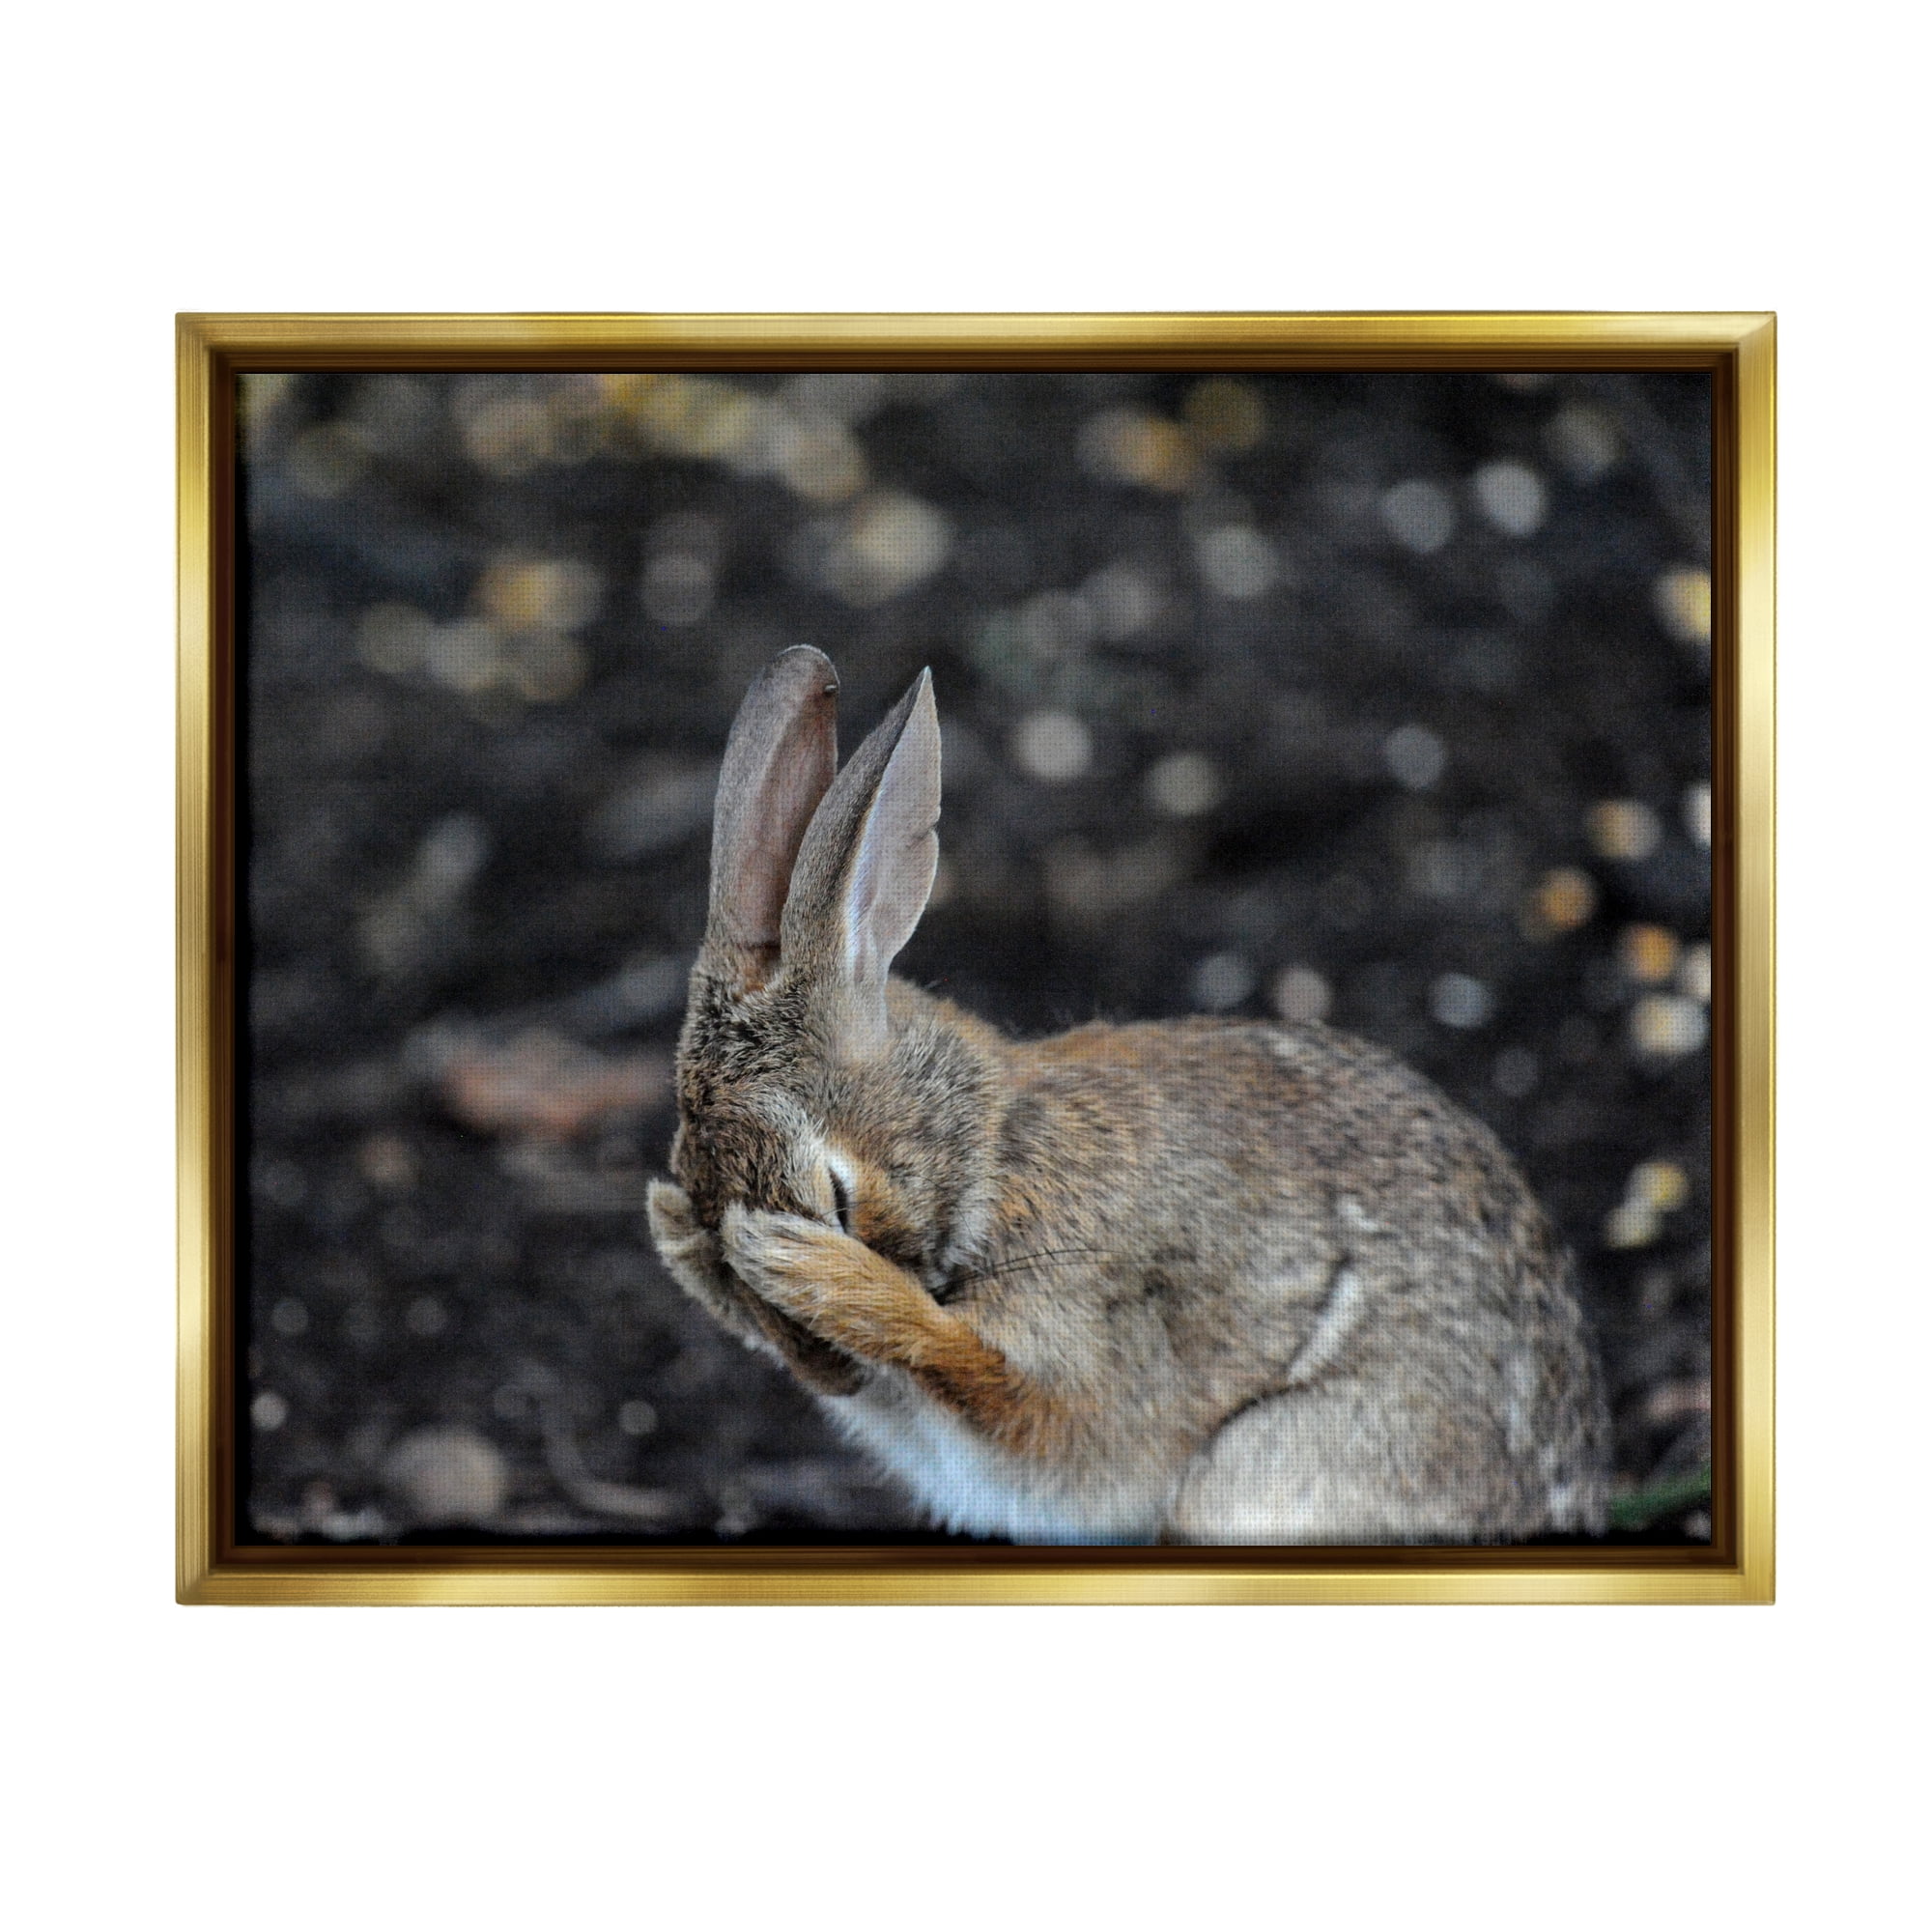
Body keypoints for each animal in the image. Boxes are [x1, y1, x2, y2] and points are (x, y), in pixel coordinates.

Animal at [646, 645, 1611, 1544]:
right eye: (710, 1240)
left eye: (835, 1196)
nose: (832, 1373)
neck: (991, 1151)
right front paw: (676, 1236)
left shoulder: (1083, 1348)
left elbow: (992, 1380)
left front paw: (812, 1270)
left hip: (1261, 1473)